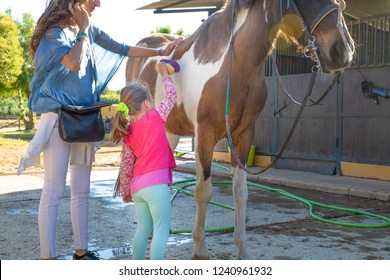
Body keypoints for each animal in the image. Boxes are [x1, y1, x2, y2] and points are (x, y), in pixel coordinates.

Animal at [125, 0, 354, 260]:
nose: (343, 51)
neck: (232, 64)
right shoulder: (204, 135)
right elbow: (203, 191)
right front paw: (199, 249)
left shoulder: (243, 135)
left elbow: (241, 192)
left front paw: (242, 249)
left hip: (169, 133)